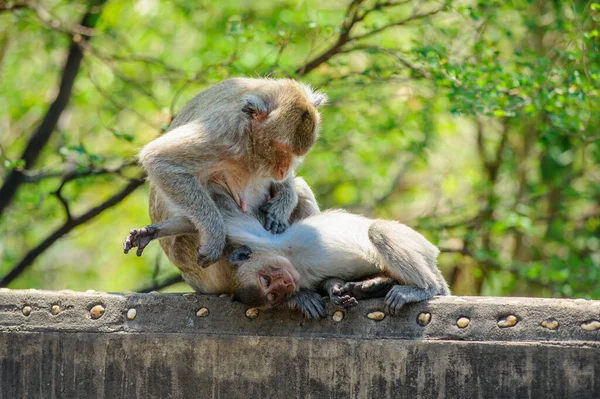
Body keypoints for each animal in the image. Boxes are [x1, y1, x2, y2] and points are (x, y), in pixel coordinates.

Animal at [128, 76, 330, 318]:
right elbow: (160, 160)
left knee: (301, 189)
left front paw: (283, 202)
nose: (283, 170)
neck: (249, 144)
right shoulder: (223, 131)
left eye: (296, 155)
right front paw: (215, 236)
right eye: (281, 150)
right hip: (207, 274)